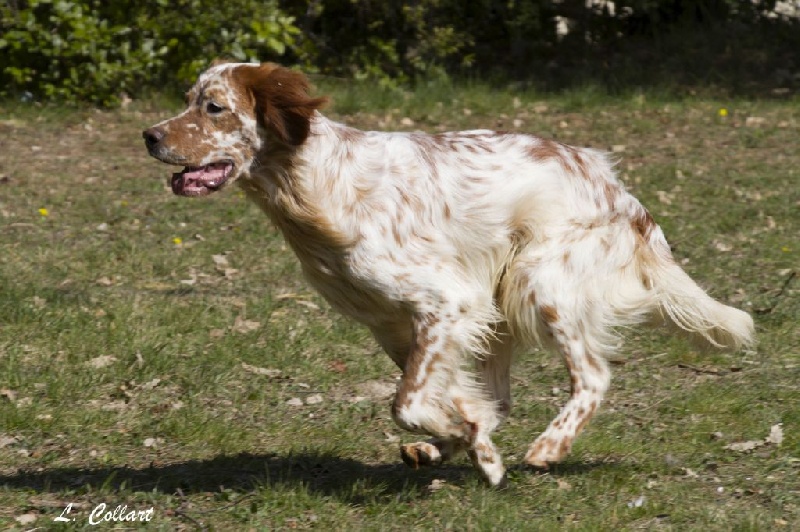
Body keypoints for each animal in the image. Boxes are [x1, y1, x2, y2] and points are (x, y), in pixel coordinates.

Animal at [145, 61, 756, 486]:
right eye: (188, 101)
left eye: (214, 107)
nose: (149, 135)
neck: (317, 184)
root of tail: (625, 197)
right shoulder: (394, 322)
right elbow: (452, 399)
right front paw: (472, 446)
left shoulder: (448, 302)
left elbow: (409, 402)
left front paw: (470, 443)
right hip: (501, 305)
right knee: (503, 396)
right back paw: (445, 450)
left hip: (539, 282)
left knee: (593, 376)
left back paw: (549, 447)